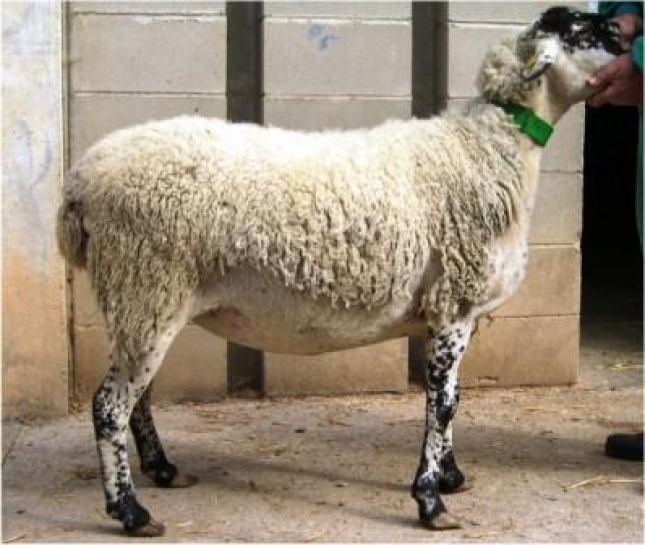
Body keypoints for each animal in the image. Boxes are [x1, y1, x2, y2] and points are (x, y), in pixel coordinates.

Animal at [56, 6, 622, 537]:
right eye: (591, 31)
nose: (625, 31)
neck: (484, 150)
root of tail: (80, 182)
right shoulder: (454, 306)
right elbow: (441, 406)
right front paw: (430, 501)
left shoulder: (446, 312)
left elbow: (453, 399)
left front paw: (450, 477)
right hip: (146, 284)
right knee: (110, 406)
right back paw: (131, 511)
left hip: (145, 300)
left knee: (138, 397)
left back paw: (164, 470)